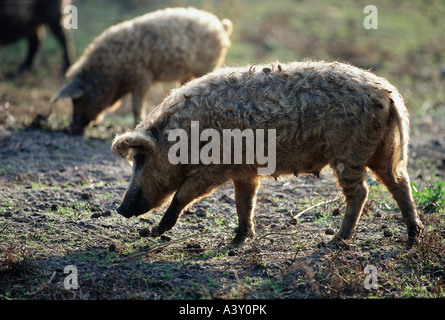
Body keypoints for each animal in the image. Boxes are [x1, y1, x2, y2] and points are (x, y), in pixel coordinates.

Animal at [52, 7, 232, 135]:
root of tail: (220, 26)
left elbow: (136, 105)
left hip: (209, 63)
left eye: (77, 100)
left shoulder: (142, 75)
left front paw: (135, 126)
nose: (71, 130)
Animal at [111, 60, 424, 248]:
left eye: (141, 160)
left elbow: (183, 195)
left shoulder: (212, 168)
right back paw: (413, 236)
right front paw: (237, 240)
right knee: (399, 183)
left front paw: (154, 232)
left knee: (360, 192)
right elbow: (244, 203)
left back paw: (334, 241)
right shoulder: (243, 172)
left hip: (350, 153)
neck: (185, 135)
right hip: (384, 150)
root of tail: (388, 94)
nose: (121, 209)